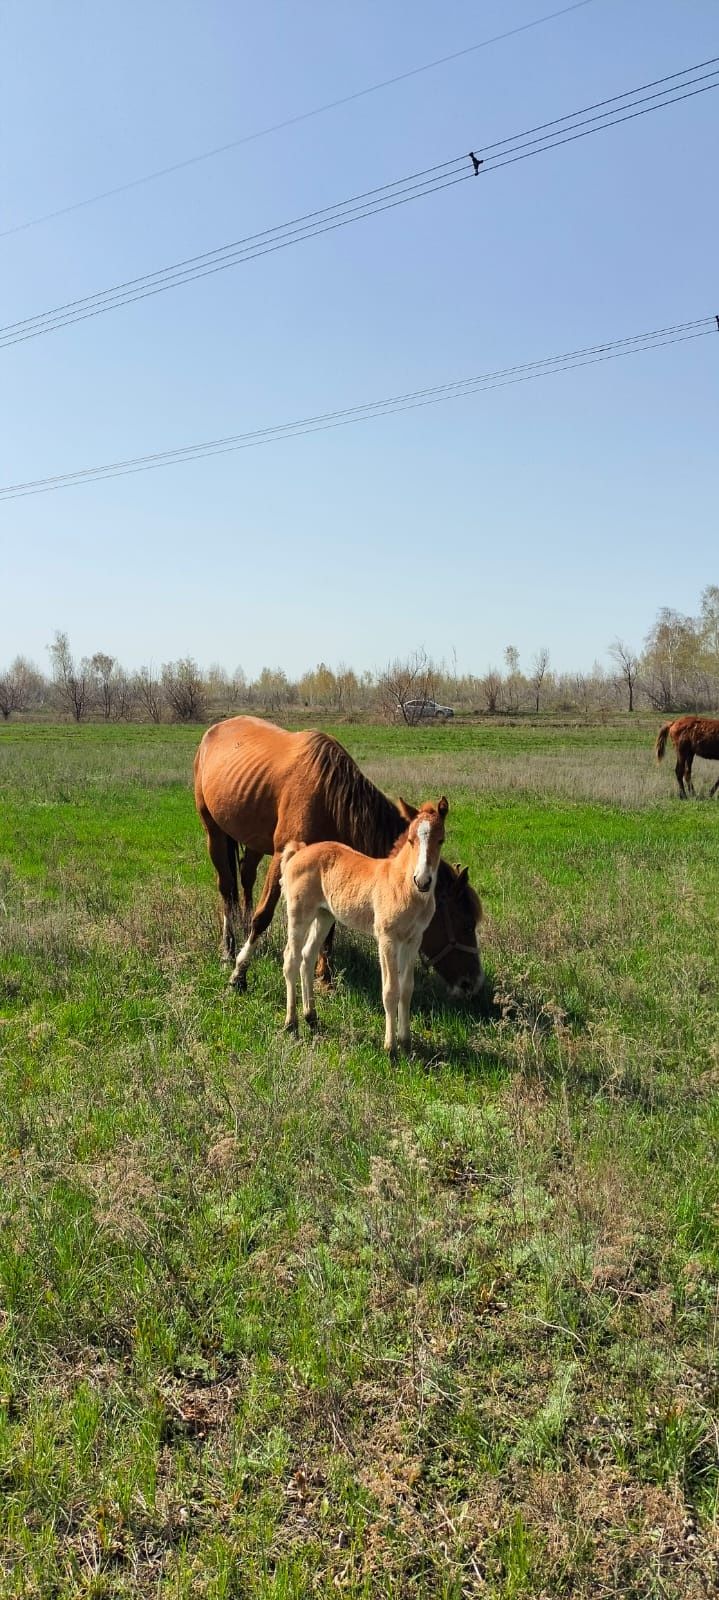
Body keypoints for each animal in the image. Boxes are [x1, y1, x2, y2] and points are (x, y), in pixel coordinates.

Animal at [194, 716, 480, 992]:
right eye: (465, 924)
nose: (473, 983)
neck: (330, 800)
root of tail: (215, 729)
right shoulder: (281, 856)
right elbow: (262, 916)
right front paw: (239, 974)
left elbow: (329, 927)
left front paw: (325, 977)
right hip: (213, 832)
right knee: (226, 887)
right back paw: (229, 949)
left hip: (253, 839)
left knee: (245, 876)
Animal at [278, 796, 441, 1049]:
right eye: (411, 840)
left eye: (441, 840)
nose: (423, 881)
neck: (402, 885)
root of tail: (299, 851)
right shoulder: (386, 938)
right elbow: (390, 990)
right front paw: (390, 1048)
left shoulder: (413, 939)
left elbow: (406, 989)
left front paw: (406, 1042)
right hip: (299, 914)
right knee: (291, 959)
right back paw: (291, 1023)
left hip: (324, 915)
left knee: (307, 957)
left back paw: (311, 1017)